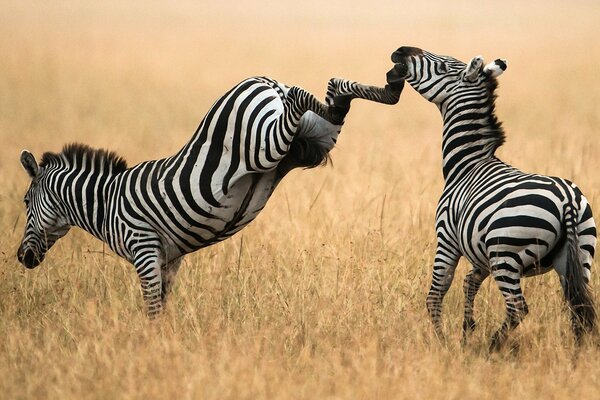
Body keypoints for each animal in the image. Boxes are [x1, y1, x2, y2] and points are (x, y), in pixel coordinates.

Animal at [16, 76, 404, 318]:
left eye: (24, 202)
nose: (21, 257)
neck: (105, 203)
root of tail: (266, 82)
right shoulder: (169, 259)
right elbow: (163, 307)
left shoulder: (143, 248)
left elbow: (151, 308)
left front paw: (148, 347)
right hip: (314, 140)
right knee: (335, 95)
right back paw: (390, 87)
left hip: (265, 143)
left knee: (299, 94)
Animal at [386, 45, 596, 348]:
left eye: (443, 67)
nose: (400, 51)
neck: (467, 164)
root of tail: (567, 198)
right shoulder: (478, 252)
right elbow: (469, 283)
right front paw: (466, 330)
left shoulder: (447, 238)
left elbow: (437, 292)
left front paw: (442, 341)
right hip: (580, 254)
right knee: (579, 306)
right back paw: (577, 353)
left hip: (506, 254)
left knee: (518, 307)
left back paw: (493, 345)